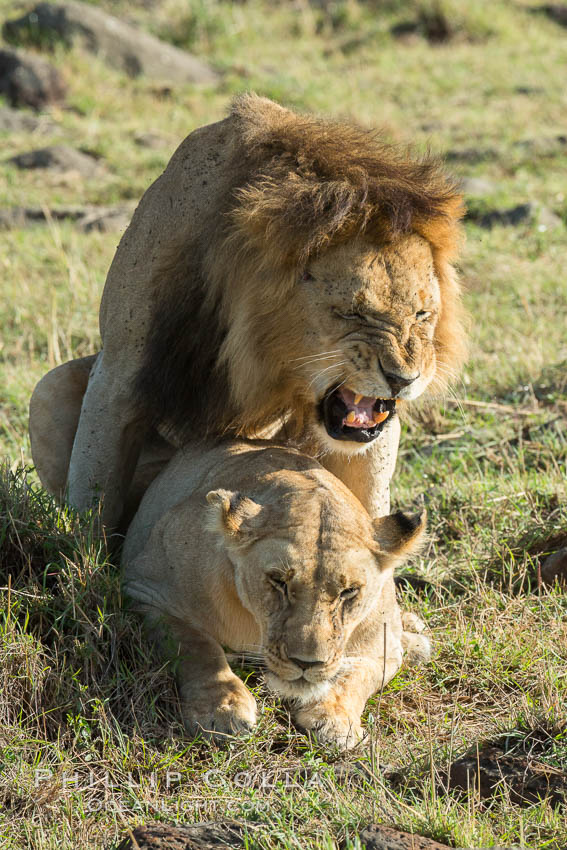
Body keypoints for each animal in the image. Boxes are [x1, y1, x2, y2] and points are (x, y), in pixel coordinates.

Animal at [30, 94, 466, 528]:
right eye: (352, 313)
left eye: (422, 315)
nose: (403, 379)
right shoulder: (119, 370)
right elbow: (95, 491)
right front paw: (85, 545)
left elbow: (370, 494)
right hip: (48, 388)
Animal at [121, 440, 430, 744]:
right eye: (278, 581)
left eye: (349, 591)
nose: (306, 663)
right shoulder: (147, 592)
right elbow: (197, 648)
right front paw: (222, 709)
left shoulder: (381, 645)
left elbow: (357, 675)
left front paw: (335, 719)